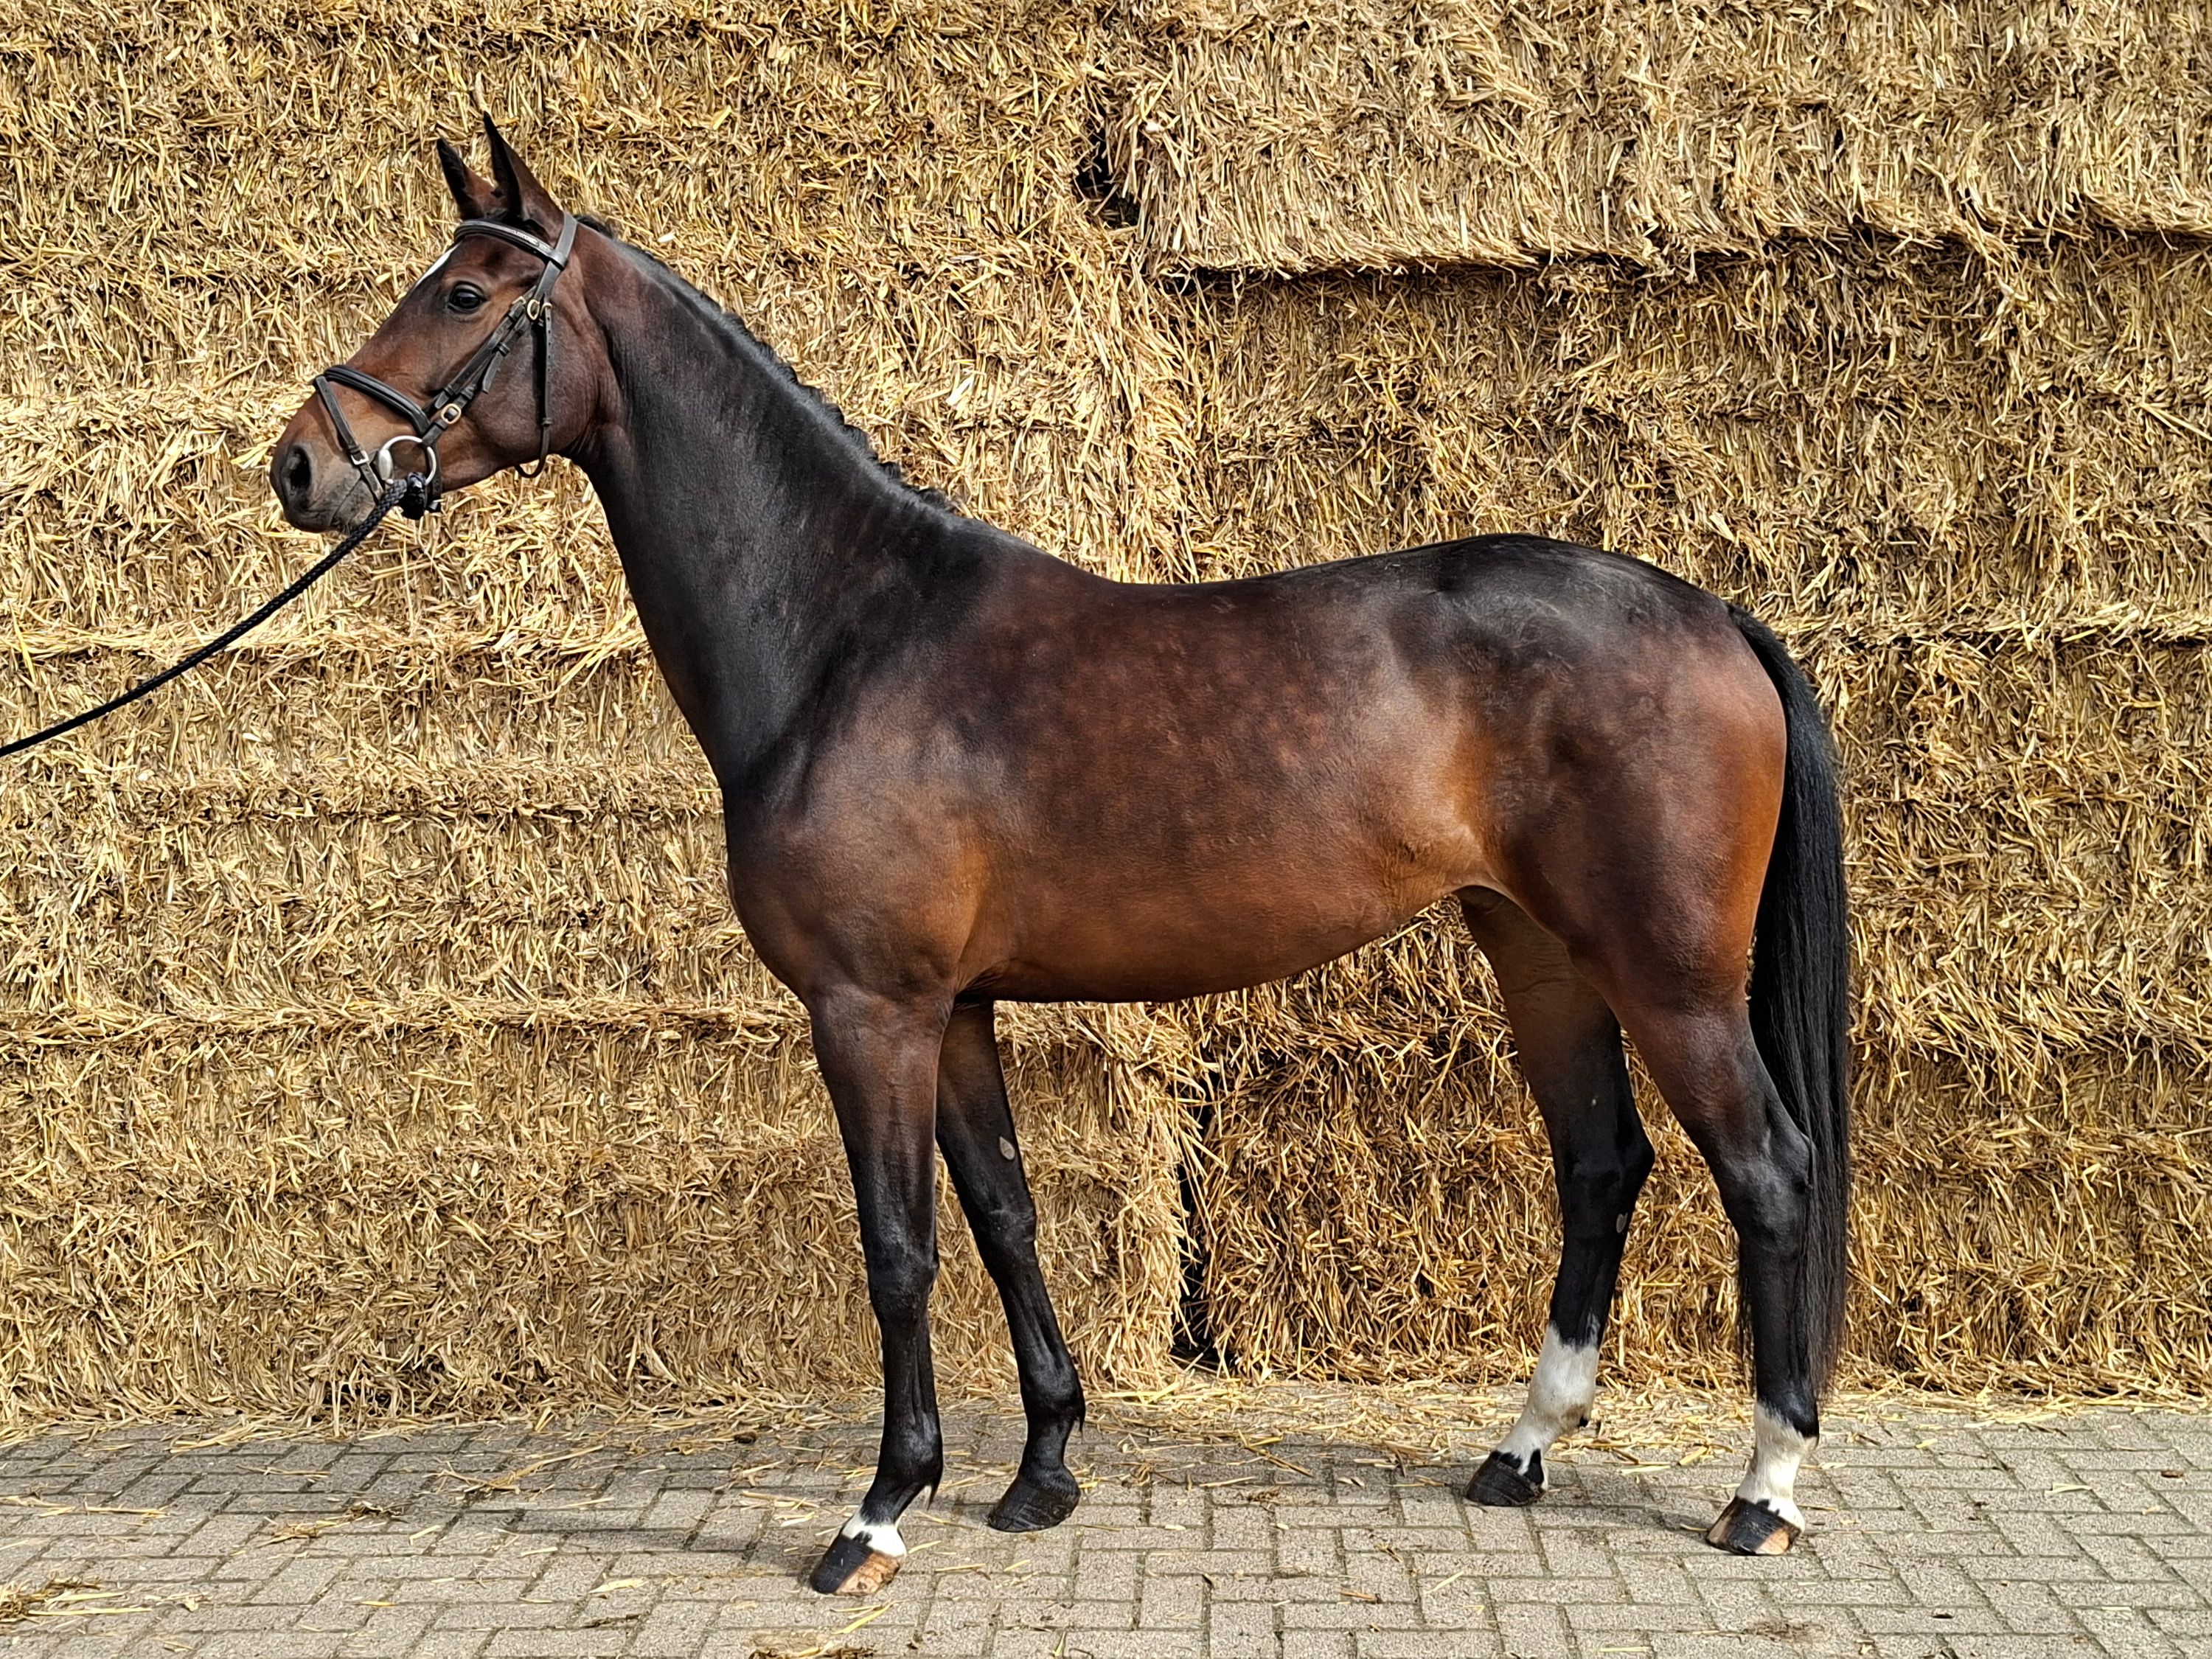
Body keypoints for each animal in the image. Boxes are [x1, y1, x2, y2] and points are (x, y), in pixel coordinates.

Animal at [271, 119, 1851, 1592]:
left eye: (466, 293)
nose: (301, 464)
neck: (852, 635)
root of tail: (1713, 617)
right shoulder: (956, 1008)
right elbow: (1006, 1217)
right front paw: (1042, 1471)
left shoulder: (870, 1011)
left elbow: (900, 1248)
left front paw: (880, 1510)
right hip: (1539, 949)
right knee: (1600, 1165)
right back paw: (1520, 1451)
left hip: (1669, 975)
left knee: (1768, 1170)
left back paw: (1765, 1491)